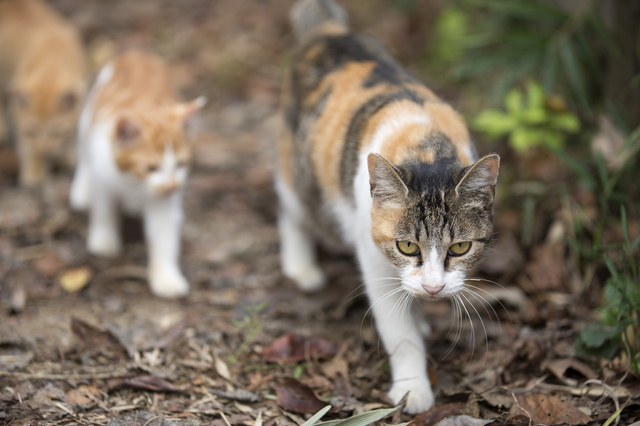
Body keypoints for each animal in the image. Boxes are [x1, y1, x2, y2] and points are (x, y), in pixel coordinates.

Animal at [0, 0, 86, 186]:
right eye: (31, 130)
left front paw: (65, 153)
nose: (44, 150)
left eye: (55, 131)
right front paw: (35, 171)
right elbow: (27, 145)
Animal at [72, 51, 208, 298]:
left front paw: (166, 277)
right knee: (83, 152)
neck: (133, 182)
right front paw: (104, 240)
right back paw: (81, 190)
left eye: (181, 164)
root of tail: (137, 54)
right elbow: (104, 209)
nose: (172, 186)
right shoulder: (103, 174)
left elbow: (163, 235)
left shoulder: (164, 202)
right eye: (151, 168)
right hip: (87, 116)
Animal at [276, 0, 500, 412]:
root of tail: (328, 32)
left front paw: (421, 312)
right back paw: (301, 267)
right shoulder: (373, 254)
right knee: (292, 208)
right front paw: (413, 387)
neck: (427, 148)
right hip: (296, 168)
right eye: (407, 246)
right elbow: (398, 330)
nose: (433, 288)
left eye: (460, 247)